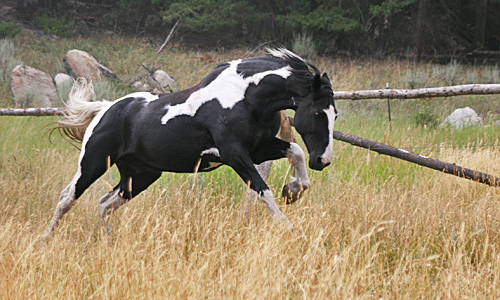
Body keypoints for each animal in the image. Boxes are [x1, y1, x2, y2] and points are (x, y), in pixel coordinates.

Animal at [43, 49, 338, 237]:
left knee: (105, 204)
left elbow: (295, 151)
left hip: (141, 174)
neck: (246, 97)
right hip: (94, 162)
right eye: (317, 113)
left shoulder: (258, 149)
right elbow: (263, 191)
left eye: (335, 114)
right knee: (66, 198)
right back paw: (46, 239)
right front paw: (289, 228)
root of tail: (105, 109)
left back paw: (109, 243)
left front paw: (294, 190)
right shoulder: (235, 155)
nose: (322, 161)